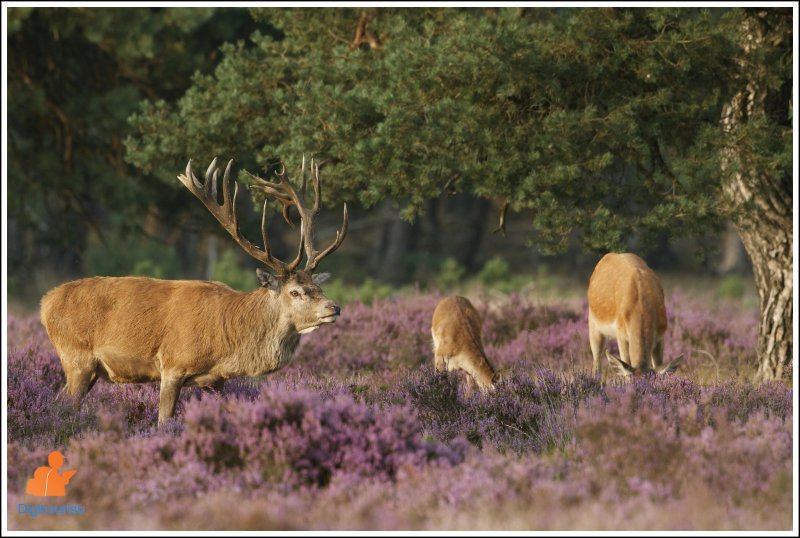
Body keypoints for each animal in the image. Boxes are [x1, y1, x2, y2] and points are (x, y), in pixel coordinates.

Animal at [40, 154, 346, 422]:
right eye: (295, 291)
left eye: (317, 288)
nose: (334, 307)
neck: (228, 340)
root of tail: (45, 302)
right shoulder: (172, 364)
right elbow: (163, 421)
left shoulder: (217, 381)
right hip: (76, 357)